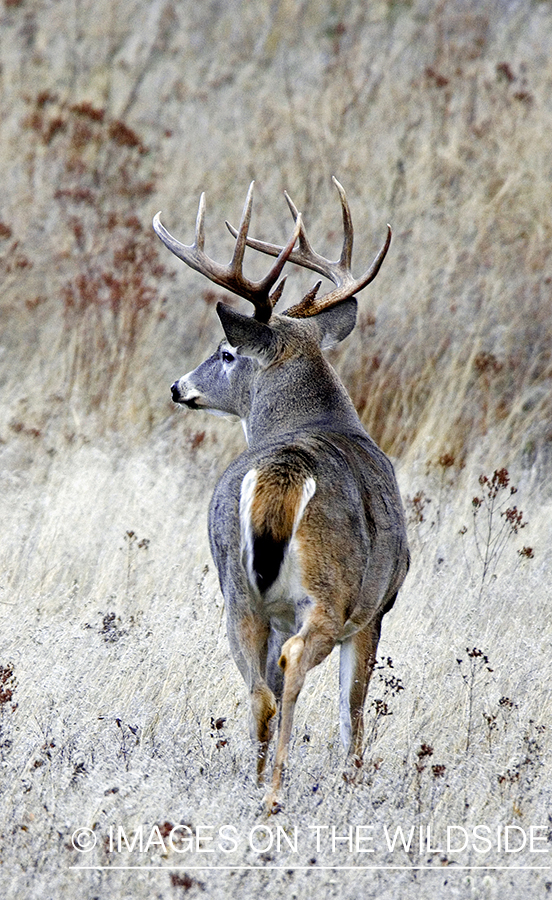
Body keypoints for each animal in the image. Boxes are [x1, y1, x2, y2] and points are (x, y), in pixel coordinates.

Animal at [153, 179, 408, 812]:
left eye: (225, 353)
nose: (178, 386)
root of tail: (282, 471)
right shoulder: (376, 607)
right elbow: (352, 711)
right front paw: (352, 781)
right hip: (331, 591)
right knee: (294, 664)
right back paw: (275, 791)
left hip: (235, 590)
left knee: (260, 691)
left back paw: (258, 784)